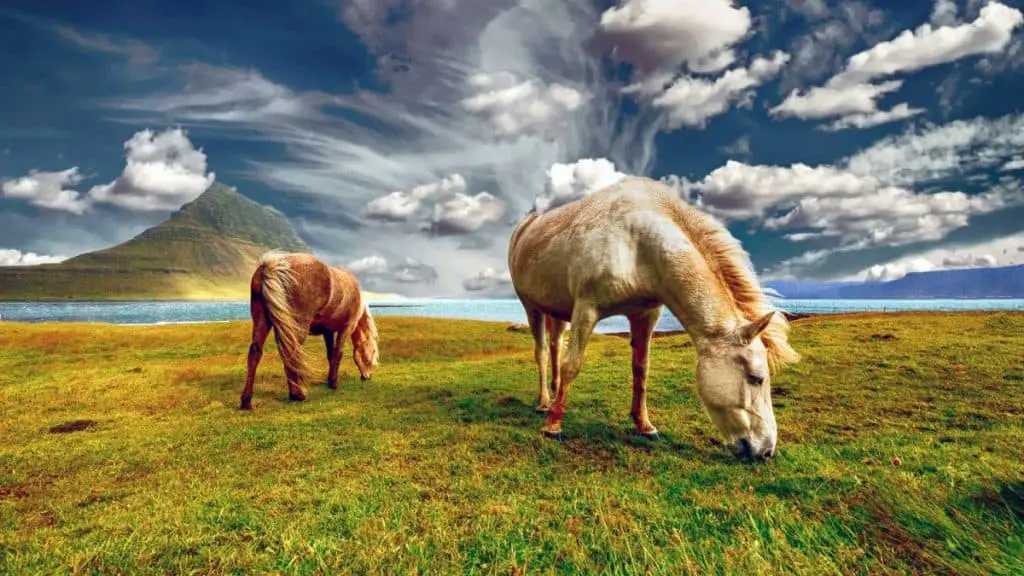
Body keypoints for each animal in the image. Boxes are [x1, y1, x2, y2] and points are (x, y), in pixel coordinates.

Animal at [239, 251, 380, 407]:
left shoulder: (328, 331)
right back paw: (297, 395)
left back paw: (246, 401)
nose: (368, 376)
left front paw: (329, 380)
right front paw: (334, 383)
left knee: (255, 352)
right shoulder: (347, 327)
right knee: (291, 353)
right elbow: (338, 353)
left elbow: (330, 354)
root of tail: (273, 265)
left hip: (262, 321)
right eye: (373, 352)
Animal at [505, 176, 798, 461]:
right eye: (756, 378)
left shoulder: (645, 314)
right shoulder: (586, 309)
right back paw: (545, 403)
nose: (766, 451)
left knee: (555, 347)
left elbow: (641, 370)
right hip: (531, 306)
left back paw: (555, 394)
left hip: (557, 311)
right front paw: (553, 426)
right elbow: (572, 365)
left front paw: (644, 425)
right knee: (543, 352)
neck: (637, 242)